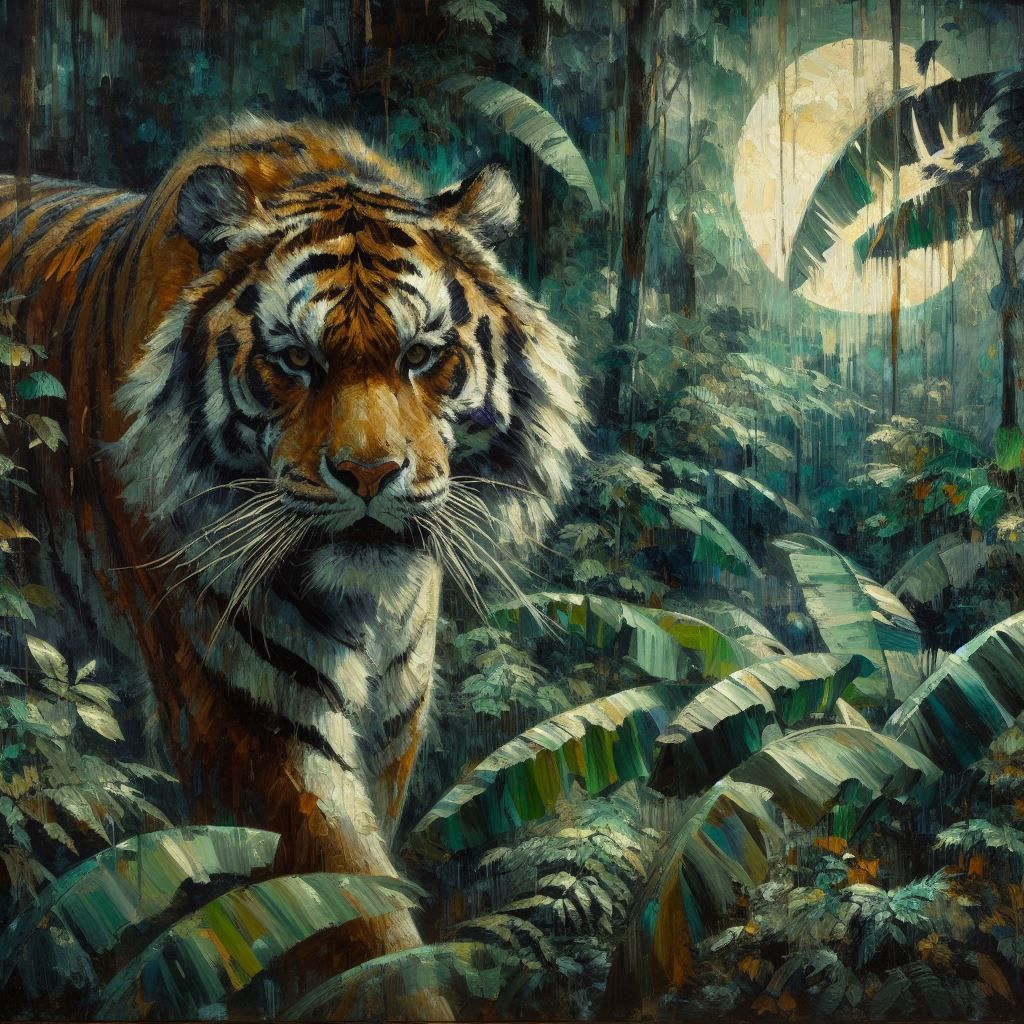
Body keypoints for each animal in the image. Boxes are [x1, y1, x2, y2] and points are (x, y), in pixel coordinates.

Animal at [0, 115, 585, 1006]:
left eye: (421, 356)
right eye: (295, 361)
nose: (370, 474)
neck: (371, 606)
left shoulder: (395, 716)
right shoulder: (252, 718)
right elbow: (353, 929)